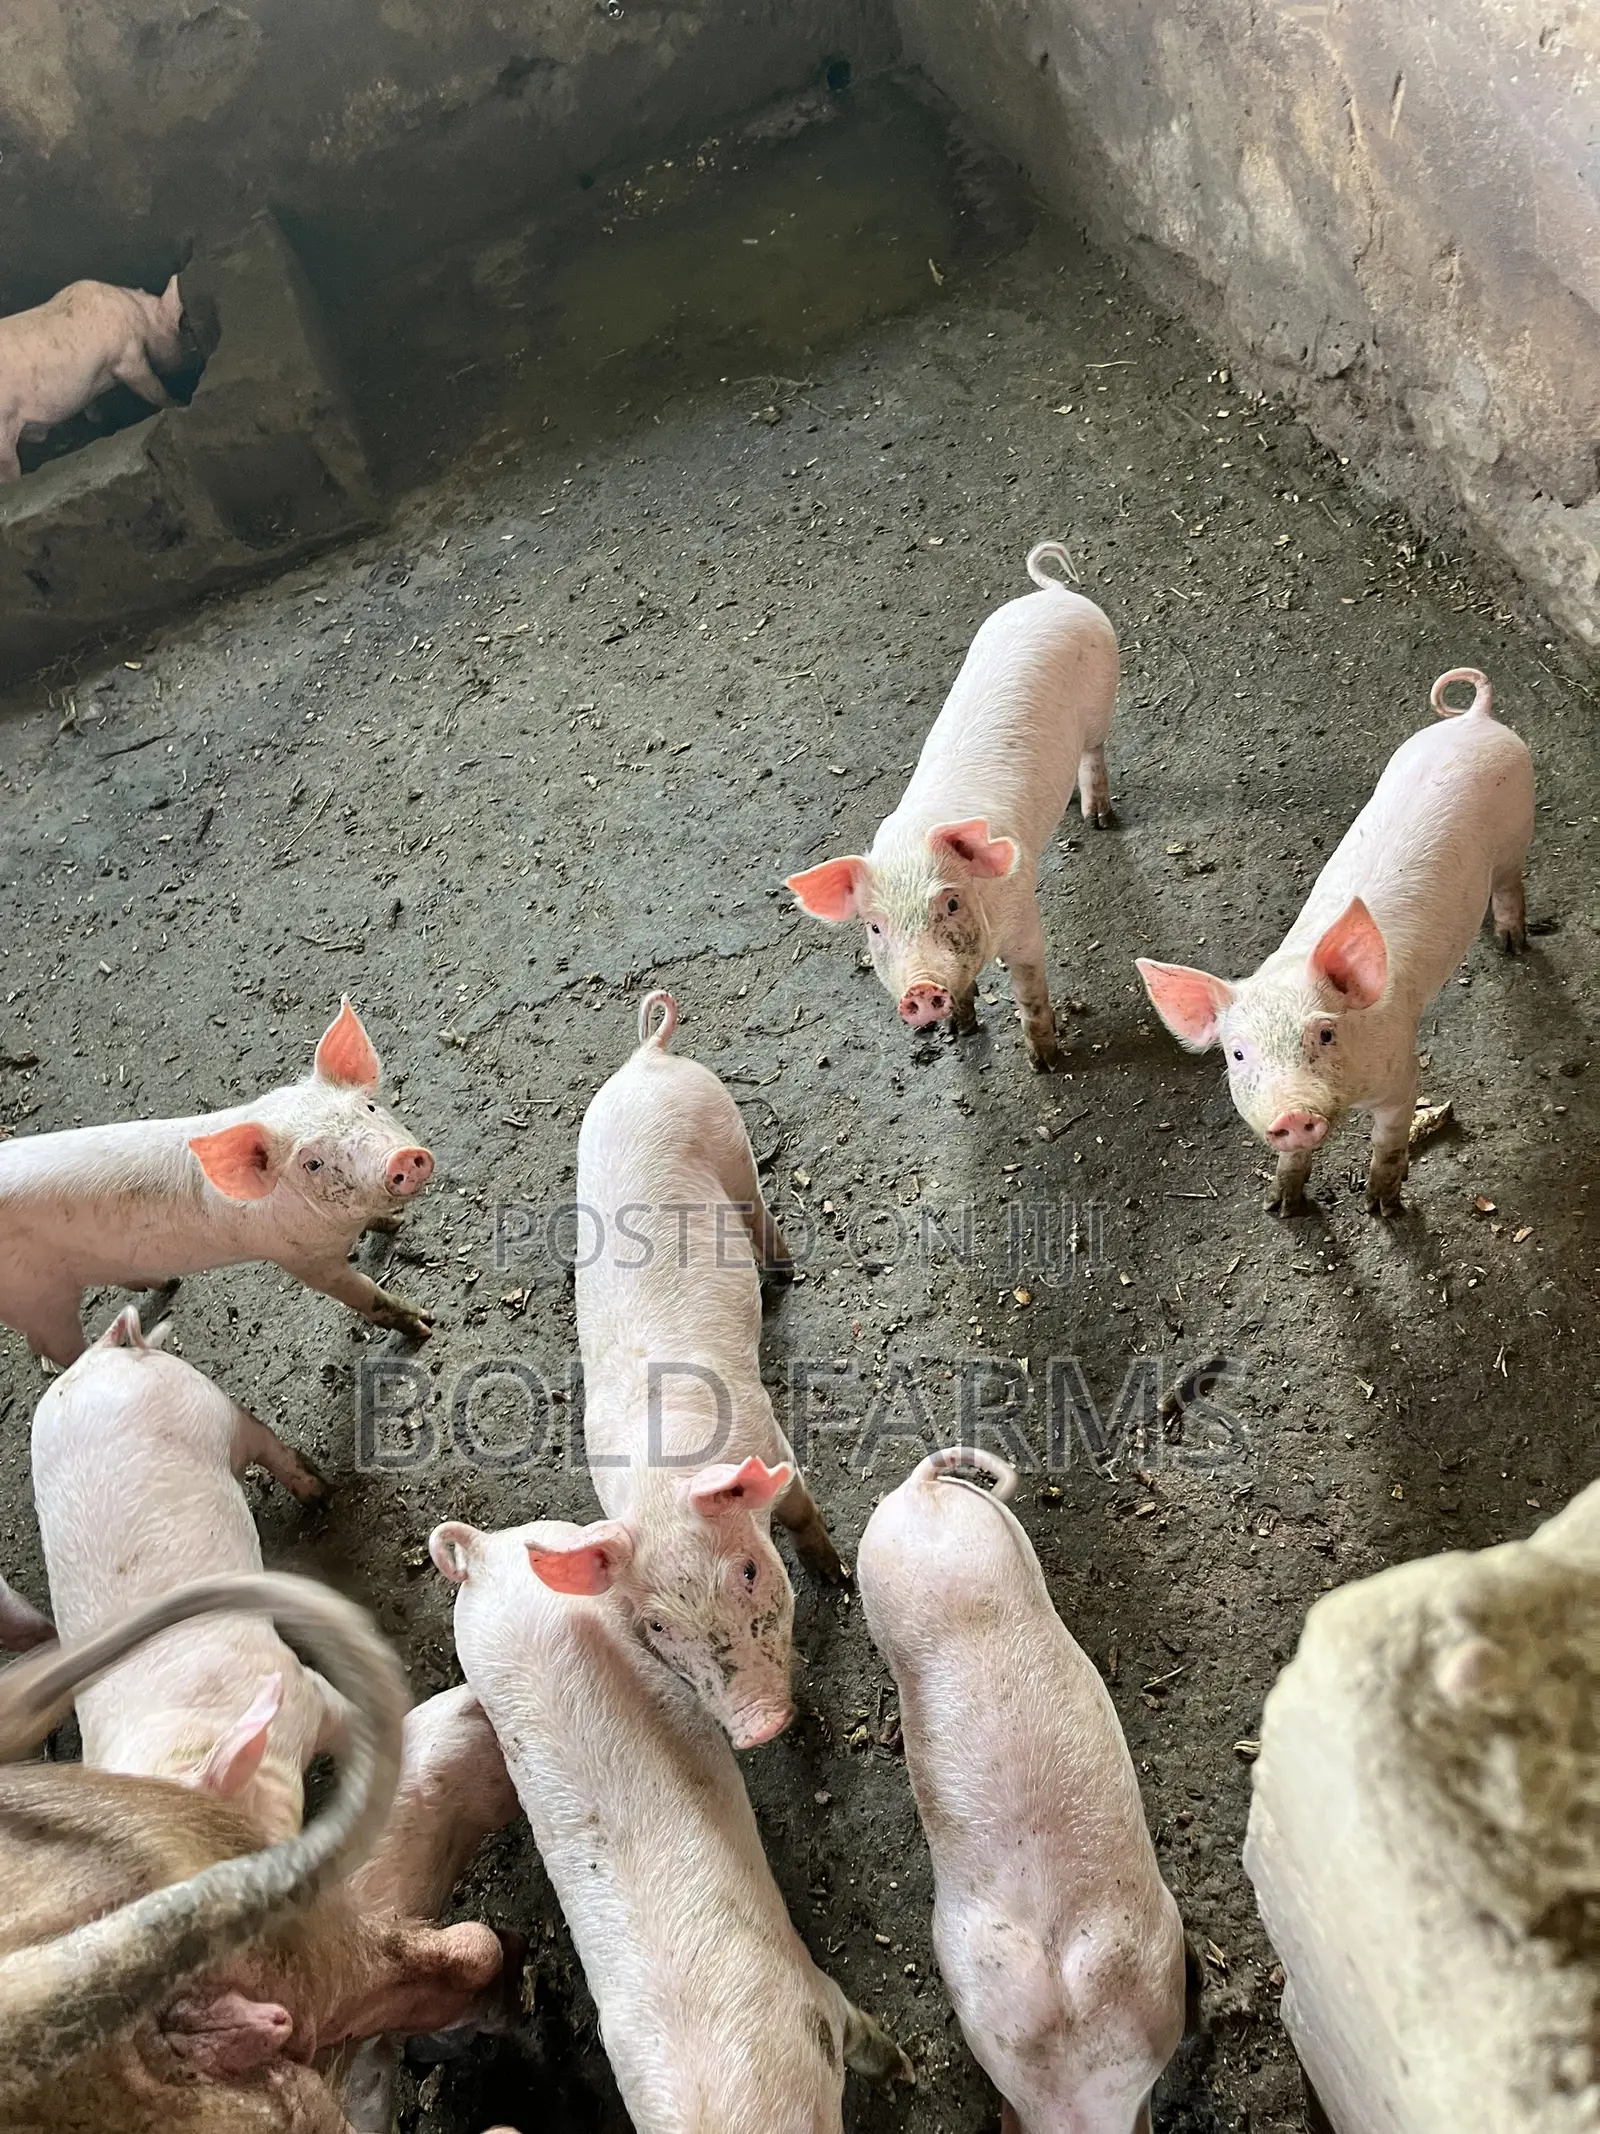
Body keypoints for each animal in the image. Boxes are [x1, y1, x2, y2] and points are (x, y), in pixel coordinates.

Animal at [0, 275, 186, 481]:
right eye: (176, 325)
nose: (185, 361)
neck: (137, 313)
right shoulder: (127, 357)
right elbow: (155, 390)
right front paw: (180, 403)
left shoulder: (90, 387)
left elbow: (93, 410)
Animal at [0, 996, 436, 1366]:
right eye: (313, 1163)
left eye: (370, 1107)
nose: (401, 1160)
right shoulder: (299, 1258)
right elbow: (365, 1295)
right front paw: (425, 1325)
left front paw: (396, 1222)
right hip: (37, 1303)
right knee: (51, 1345)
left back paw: (169, 1282)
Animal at [531, 989, 843, 1751]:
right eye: (656, 1626)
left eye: (750, 1571)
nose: (758, 1726)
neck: (663, 1475)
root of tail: (649, 1056)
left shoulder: (771, 1438)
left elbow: (800, 1508)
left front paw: (837, 1578)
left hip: (729, 1137)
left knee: (758, 1205)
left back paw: (784, 1274)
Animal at [786, 540, 1119, 1069]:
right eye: (875, 927)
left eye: (952, 902)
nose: (920, 990)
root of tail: (1056, 594)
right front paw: (960, 1029)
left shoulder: (1025, 918)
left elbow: (1030, 992)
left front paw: (1045, 1063)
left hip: (1102, 701)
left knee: (1095, 753)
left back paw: (1100, 819)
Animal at [1136, 667, 1534, 1215]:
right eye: (1237, 1054)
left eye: (1325, 1034)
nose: (1292, 1114)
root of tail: (1475, 719)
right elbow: (1292, 1162)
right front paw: (1281, 1205)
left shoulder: (1402, 1073)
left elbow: (1390, 1141)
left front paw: (1382, 1206)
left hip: (1519, 826)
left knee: (1511, 883)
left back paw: (1512, 943)